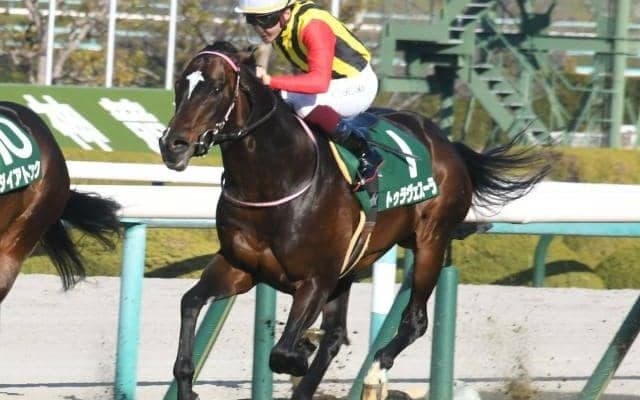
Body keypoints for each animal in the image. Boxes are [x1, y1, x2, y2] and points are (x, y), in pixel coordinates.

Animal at [159, 41, 551, 400]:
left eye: (215, 88)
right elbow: (189, 303)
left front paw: (301, 350)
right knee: (334, 336)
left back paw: (376, 370)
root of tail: (446, 143)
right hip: (353, 265)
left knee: (415, 321)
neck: (275, 178)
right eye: (180, 84)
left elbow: (283, 353)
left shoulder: (316, 278)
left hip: (431, 243)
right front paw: (188, 385)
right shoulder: (241, 266)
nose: (172, 144)